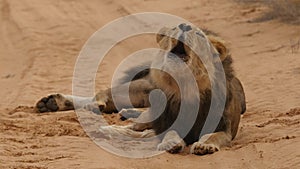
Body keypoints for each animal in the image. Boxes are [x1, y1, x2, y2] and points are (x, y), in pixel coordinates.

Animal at [35, 23, 246, 155]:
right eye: (175, 27)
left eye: (200, 35)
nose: (184, 26)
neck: (187, 86)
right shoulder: (167, 120)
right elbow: (168, 132)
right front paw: (171, 142)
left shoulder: (225, 128)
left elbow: (213, 136)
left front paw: (204, 146)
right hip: (140, 88)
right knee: (109, 102)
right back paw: (60, 103)